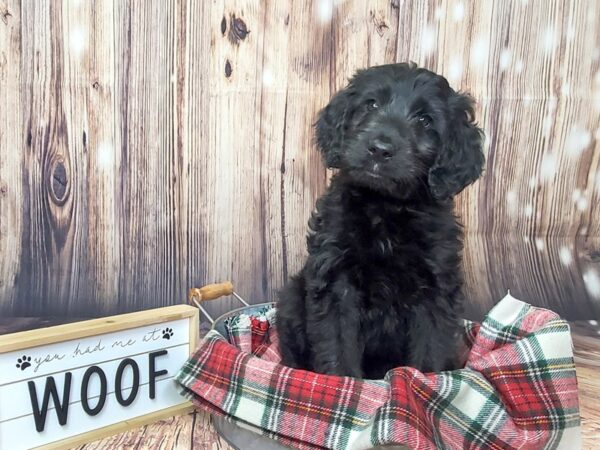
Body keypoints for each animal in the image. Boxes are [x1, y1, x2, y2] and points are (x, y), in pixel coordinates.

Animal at [278, 64, 486, 380]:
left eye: (425, 120)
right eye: (371, 104)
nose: (379, 149)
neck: (385, 207)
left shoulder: (435, 291)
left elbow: (429, 353)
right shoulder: (336, 284)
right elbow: (338, 350)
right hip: (291, 299)